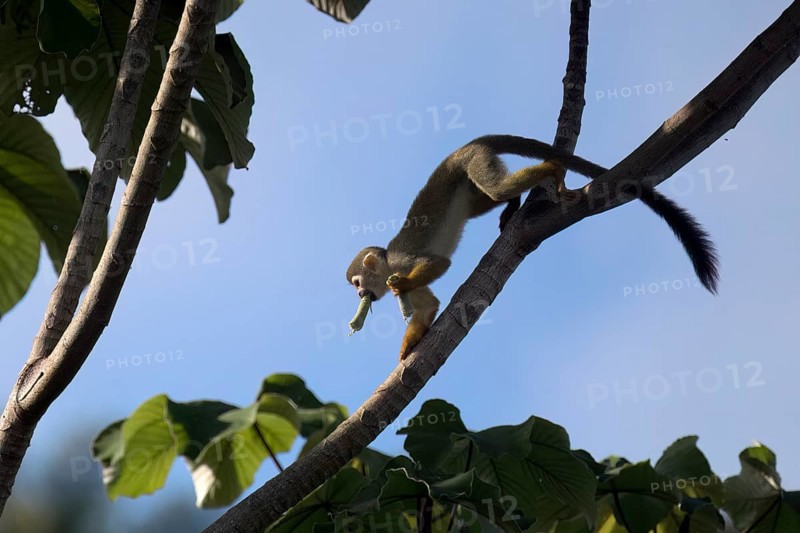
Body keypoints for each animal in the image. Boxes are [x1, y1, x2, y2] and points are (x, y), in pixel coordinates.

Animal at [346, 134, 719, 360]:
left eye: (357, 283)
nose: (360, 294)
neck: (388, 263)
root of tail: (463, 147)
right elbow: (427, 306)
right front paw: (407, 349)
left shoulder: (400, 260)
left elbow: (437, 264)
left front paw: (403, 285)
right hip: (471, 173)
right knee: (486, 198)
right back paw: (515, 201)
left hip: (473, 160)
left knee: (496, 187)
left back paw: (552, 170)